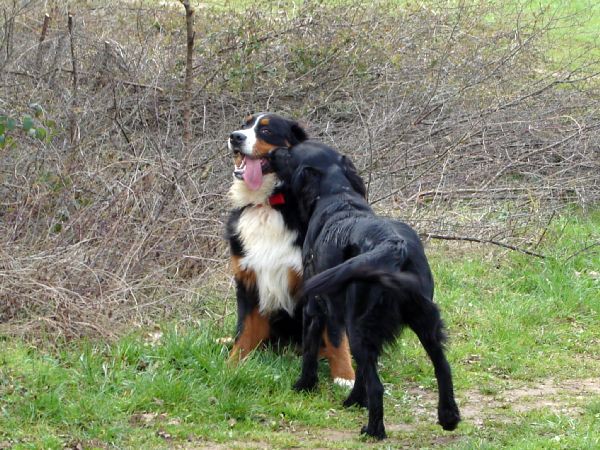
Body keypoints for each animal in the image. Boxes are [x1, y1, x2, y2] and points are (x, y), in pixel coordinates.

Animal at [225, 113, 356, 386]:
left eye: (266, 131)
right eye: (244, 125)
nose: (235, 137)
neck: (267, 205)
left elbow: (336, 335)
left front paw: (344, 376)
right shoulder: (248, 280)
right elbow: (244, 332)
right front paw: (232, 366)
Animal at [270, 142, 462, 440]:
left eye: (291, 153)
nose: (272, 152)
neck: (337, 194)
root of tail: (393, 245)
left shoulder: (315, 308)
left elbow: (310, 351)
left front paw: (304, 385)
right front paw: (354, 401)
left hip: (359, 324)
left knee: (378, 386)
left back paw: (373, 430)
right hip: (423, 321)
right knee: (443, 368)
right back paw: (448, 417)